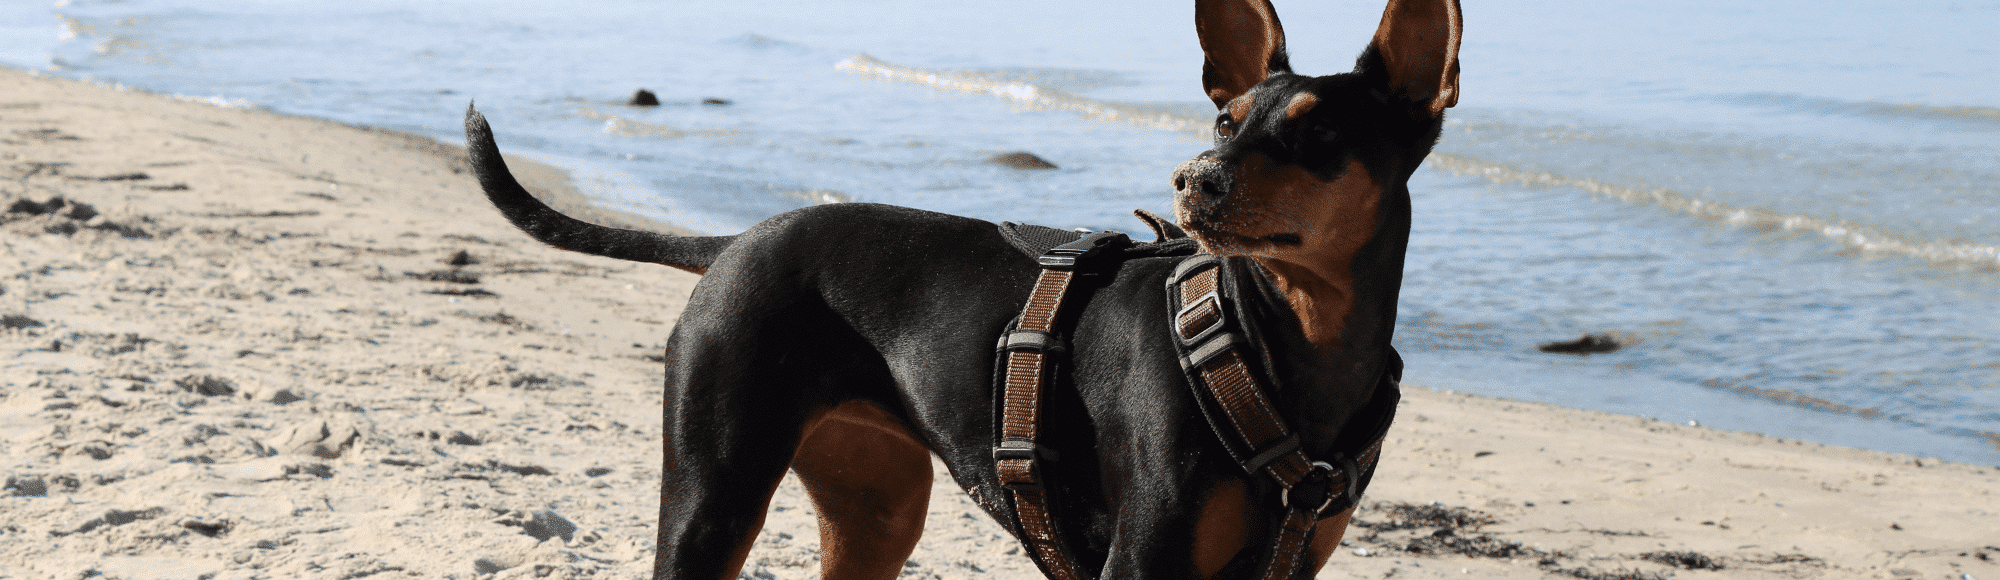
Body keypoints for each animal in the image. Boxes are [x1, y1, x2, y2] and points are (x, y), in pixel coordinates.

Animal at [462, 0, 1464, 576]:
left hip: (876, 508)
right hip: (715, 492)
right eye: (1225, 119)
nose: (1194, 178)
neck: (1283, 348)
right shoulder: (1146, 558)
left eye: (1319, 134)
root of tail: (738, 242)